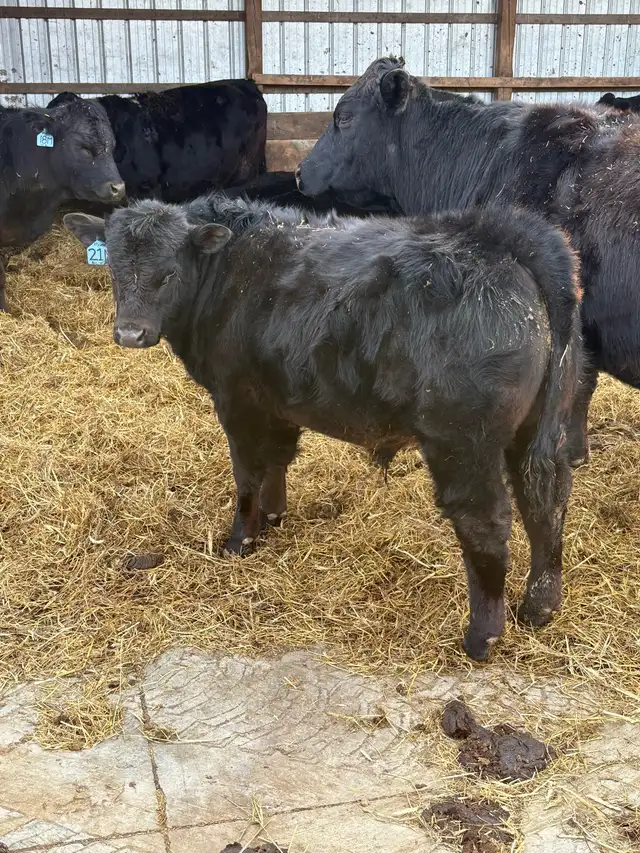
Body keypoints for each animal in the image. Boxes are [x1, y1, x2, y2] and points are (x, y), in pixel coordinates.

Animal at [64, 195, 582, 662]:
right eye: (113, 272)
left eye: (168, 273)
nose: (130, 333)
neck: (232, 274)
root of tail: (501, 238)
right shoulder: (276, 399)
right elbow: (277, 459)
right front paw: (274, 516)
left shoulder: (236, 400)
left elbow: (247, 473)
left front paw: (240, 541)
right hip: (537, 430)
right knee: (546, 502)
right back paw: (540, 607)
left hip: (463, 442)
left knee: (488, 521)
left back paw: (482, 638)